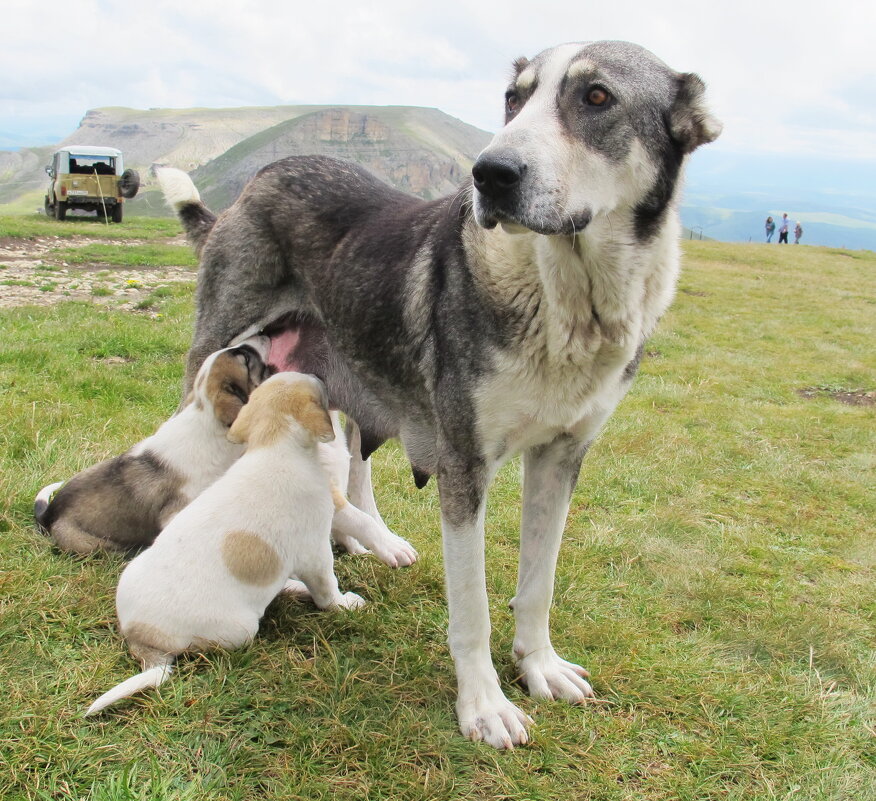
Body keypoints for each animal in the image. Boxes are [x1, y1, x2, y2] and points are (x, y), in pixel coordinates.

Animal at [84, 368, 364, 712]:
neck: (274, 445)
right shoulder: (316, 552)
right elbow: (328, 590)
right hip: (241, 629)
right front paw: (344, 605)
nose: (319, 373)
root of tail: (138, 635)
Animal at [156, 39, 720, 752]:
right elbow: (472, 606)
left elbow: (539, 581)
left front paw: (540, 667)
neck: (567, 300)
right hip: (217, 348)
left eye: (597, 97)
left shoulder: (562, 456)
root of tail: (259, 180)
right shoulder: (464, 466)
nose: (490, 173)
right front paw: (483, 706)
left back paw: (371, 540)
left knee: (353, 454)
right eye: (513, 99)